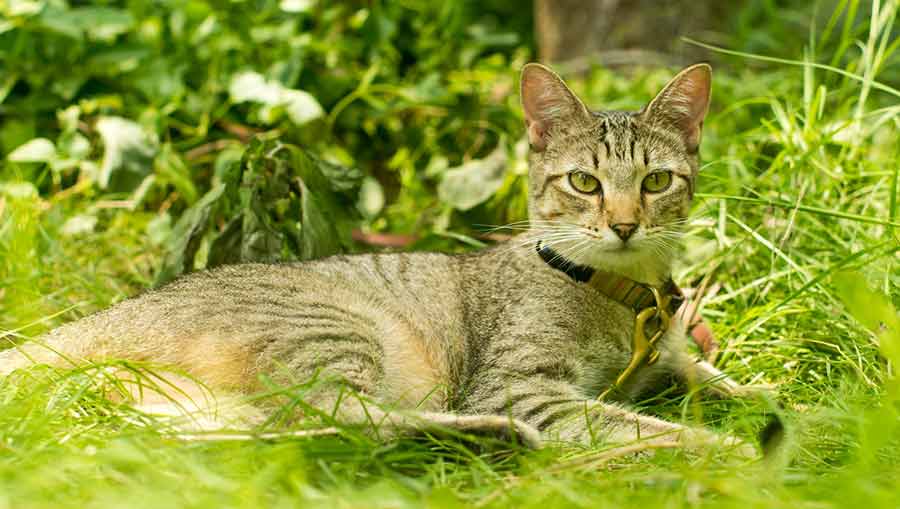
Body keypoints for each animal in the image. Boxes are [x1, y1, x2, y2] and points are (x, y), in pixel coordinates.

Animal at [3, 62, 768, 452]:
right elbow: (640, 423)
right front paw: (740, 451)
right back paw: (494, 436)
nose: (624, 224)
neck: (624, 296)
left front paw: (768, 400)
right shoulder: (523, 385)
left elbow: (718, 379)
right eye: (584, 182)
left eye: (656, 182)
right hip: (338, 333)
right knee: (329, 417)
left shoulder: (669, 360)